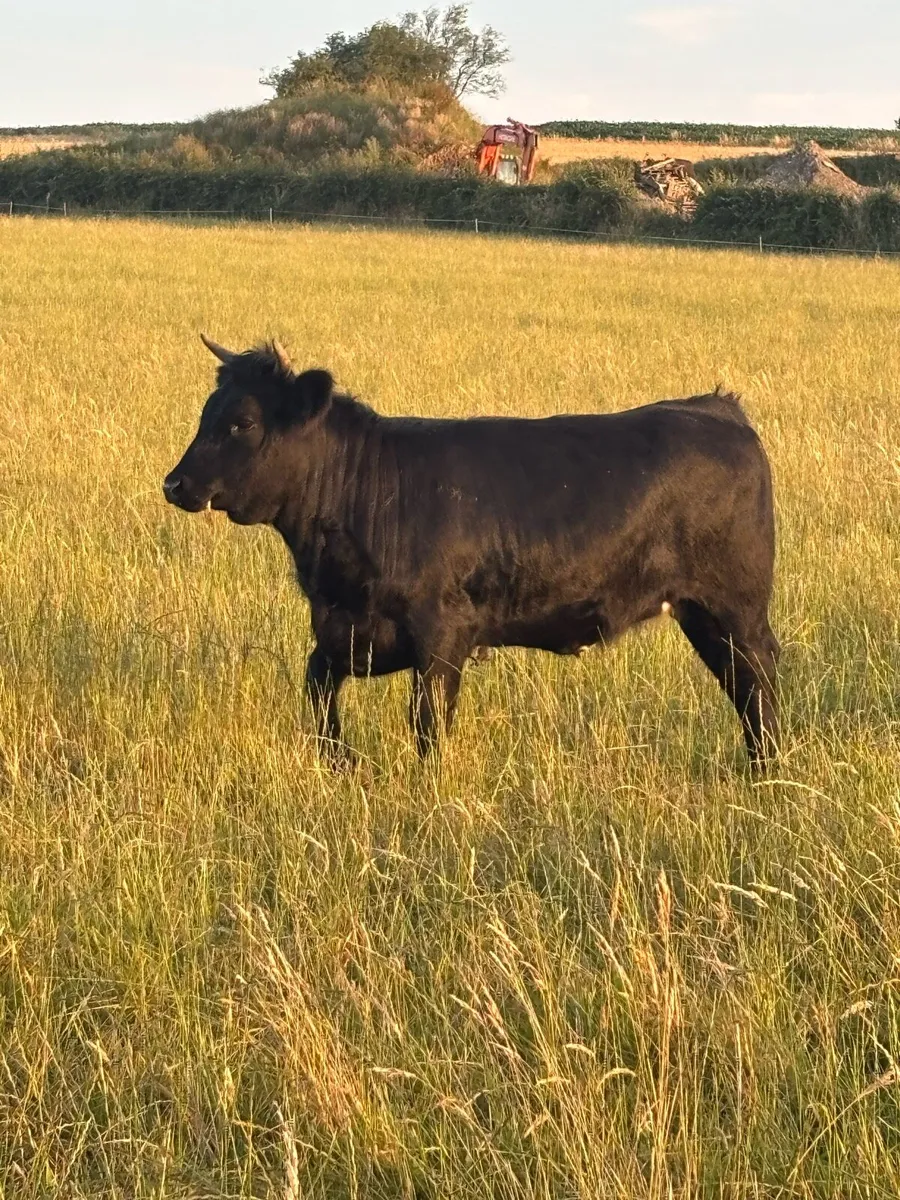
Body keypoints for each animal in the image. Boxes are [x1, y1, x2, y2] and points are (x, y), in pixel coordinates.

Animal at [163, 336, 780, 770]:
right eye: (206, 413)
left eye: (242, 422)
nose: (174, 484)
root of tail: (719, 409)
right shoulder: (345, 630)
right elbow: (316, 690)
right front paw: (341, 763)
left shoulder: (442, 634)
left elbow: (428, 722)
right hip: (703, 613)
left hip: (736, 607)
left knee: (757, 680)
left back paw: (765, 772)